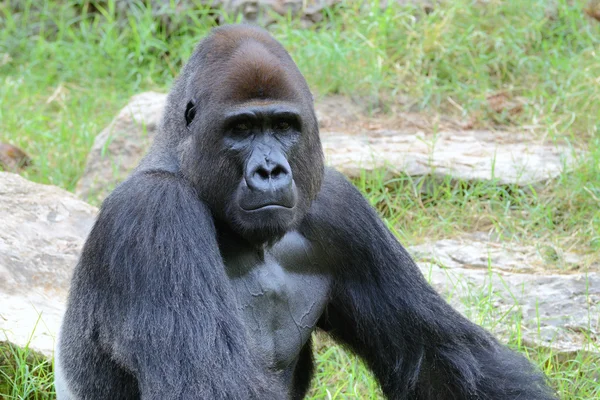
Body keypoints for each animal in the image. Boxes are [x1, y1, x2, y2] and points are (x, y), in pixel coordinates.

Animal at [54, 25, 556, 400]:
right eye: (241, 129)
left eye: (283, 125)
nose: (270, 170)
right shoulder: (154, 214)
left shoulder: (340, 208)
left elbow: (437, 358)